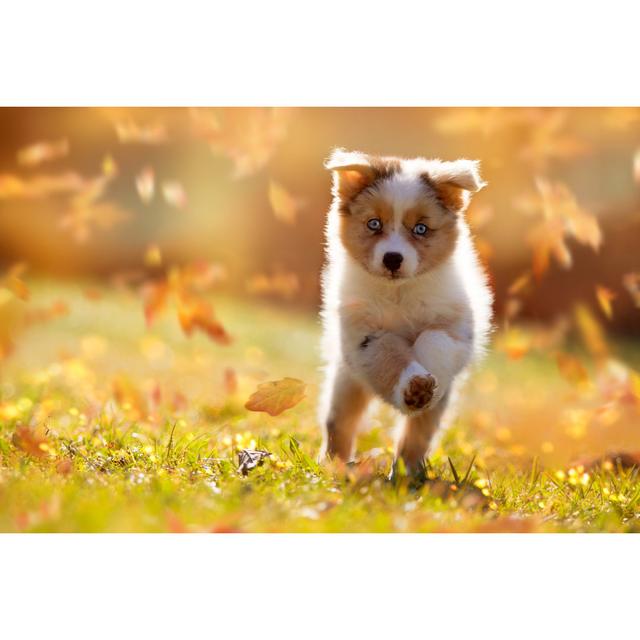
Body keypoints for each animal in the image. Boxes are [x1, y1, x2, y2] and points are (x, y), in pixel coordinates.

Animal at [320, 150, 496, 478]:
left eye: (421, 229)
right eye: (374, 223)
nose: (393, 259)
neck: (398, 292)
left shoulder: (456, 328)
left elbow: (434, 340)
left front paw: (425, 385)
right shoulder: (364, 337)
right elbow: (389, 354)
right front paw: (413, 385)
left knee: (415, 437)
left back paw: (406, 474)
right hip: (345, 381)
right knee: (340, 424)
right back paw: (333, 466)